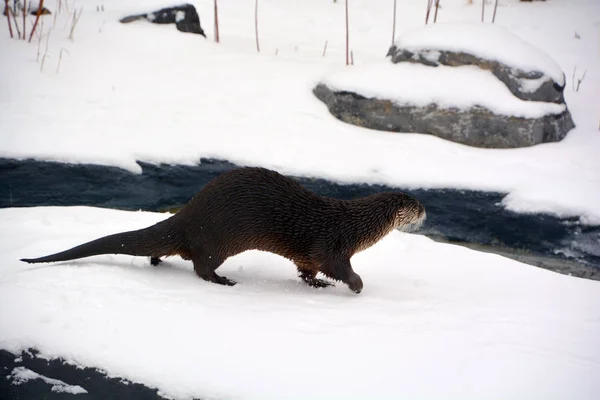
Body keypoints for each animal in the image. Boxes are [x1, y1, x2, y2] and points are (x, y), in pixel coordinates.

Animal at [21, 166, 424, 294]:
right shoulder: (333, 244)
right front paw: (356, 285)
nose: (425, 211)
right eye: (417, 206)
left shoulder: (310, 255)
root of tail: (188, 213)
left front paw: (317, 285)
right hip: (217, 240)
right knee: (200, 266)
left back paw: (156, 261)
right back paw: (223, 280)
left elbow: (307, 270)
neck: (357, 225)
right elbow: (335, 267)